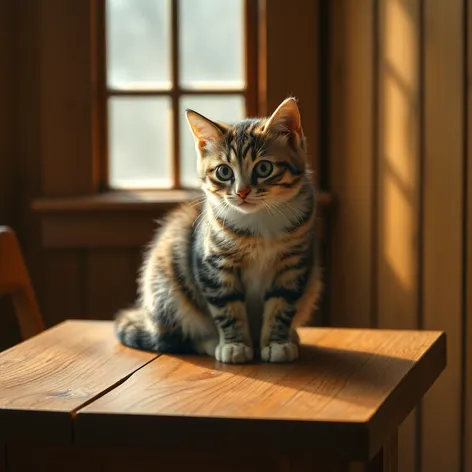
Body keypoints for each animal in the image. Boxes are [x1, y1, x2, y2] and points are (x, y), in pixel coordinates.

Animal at [114, 97, 320, 366]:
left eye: (264, 168)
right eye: (224, 171)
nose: (242, 192)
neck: (260, 220)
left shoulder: (294, 262)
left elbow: (283, 303)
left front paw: (277, 343)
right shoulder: (214, 263)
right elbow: (226, 305)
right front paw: (234, 346)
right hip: (168, 283)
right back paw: (211, 342)